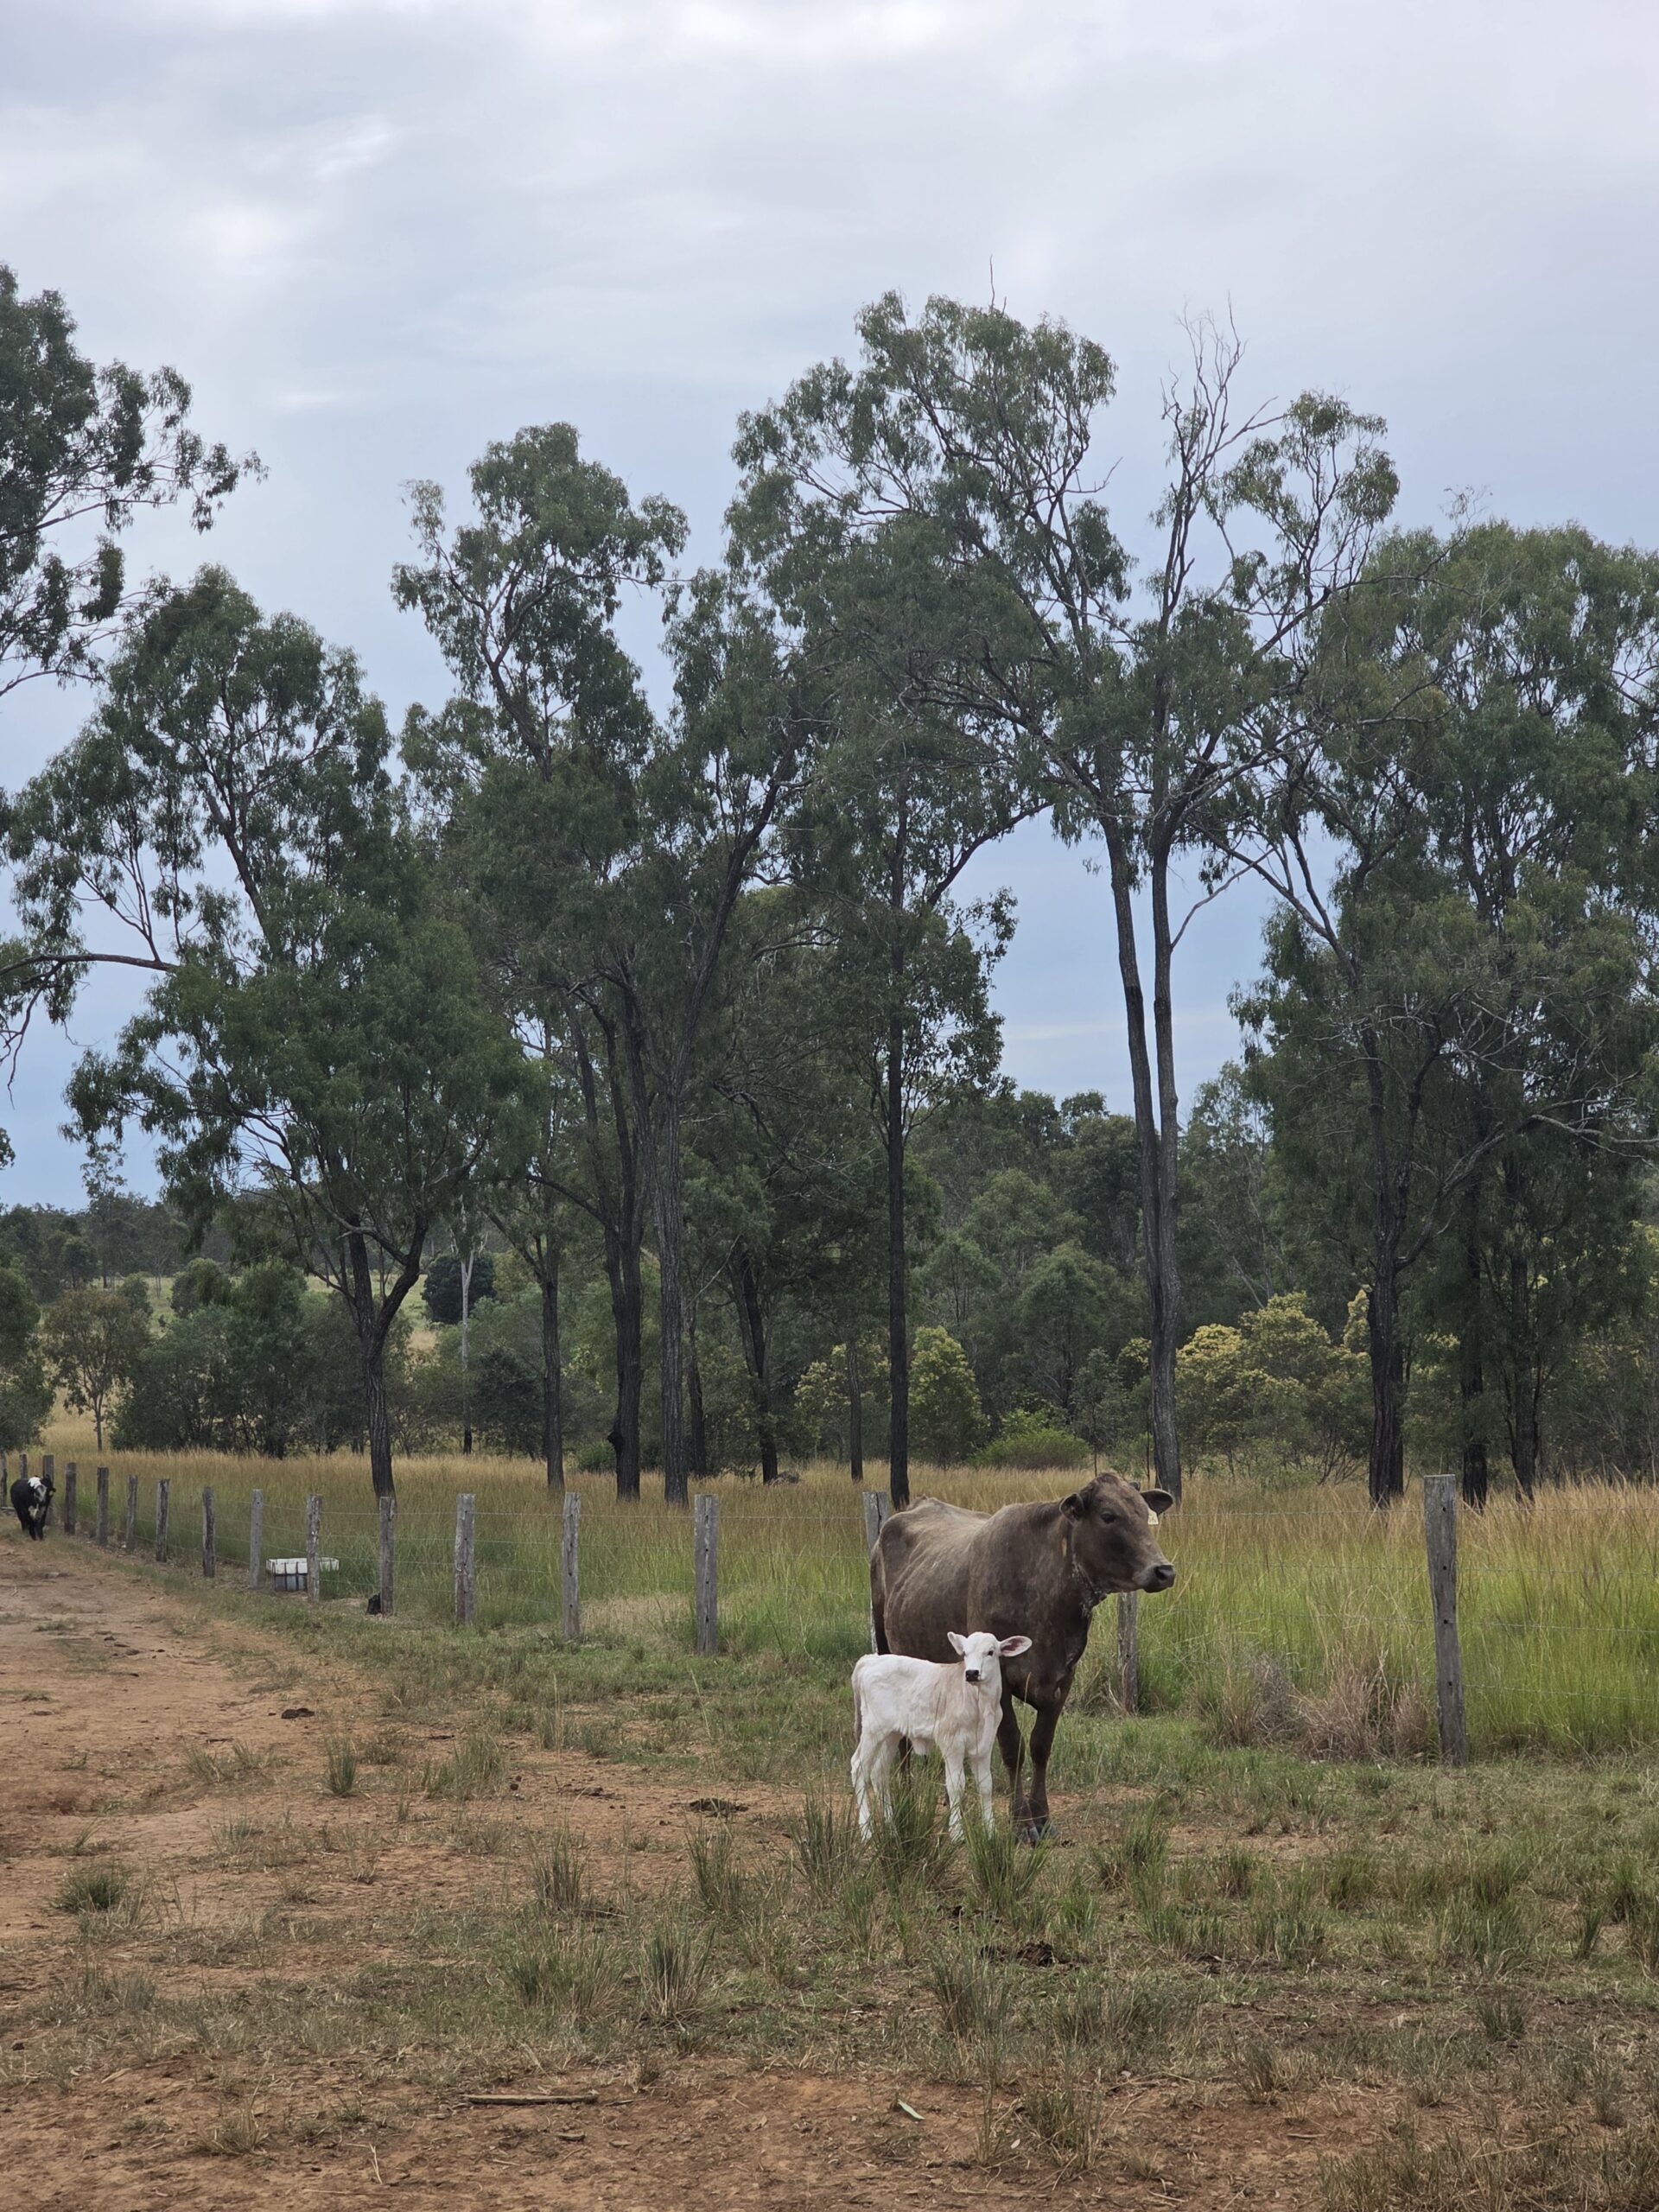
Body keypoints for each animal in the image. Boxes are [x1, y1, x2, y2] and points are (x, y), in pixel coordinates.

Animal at [870, 1470, 1175, 1838]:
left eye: (1145, 1514)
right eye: (1108, 1515)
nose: (1164, 1570)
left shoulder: (1062, 1681)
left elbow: (1041, 1746)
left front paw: (1042, 1817)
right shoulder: (995, 1683)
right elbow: (1012, 1747)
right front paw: (1020, 1821)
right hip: (887, 1647)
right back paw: (905, 1793)